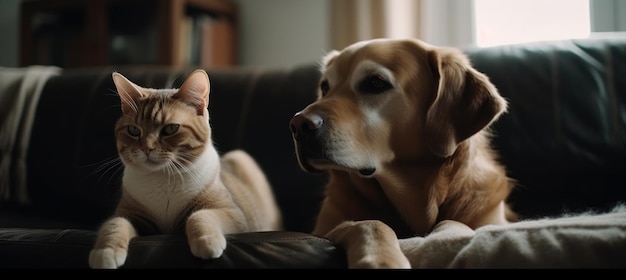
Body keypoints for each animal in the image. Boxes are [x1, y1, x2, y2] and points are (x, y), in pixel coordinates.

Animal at [89, 69, 282, 268]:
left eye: (170, 129)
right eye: (133, 130)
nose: (146, 149)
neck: (162, 179)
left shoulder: (233, 214)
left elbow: (198, 216)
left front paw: (207, 241)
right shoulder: (128, 215)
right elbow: (114, 225)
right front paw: (104, 252)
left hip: (241, 158)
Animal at [288, 38, 516, 268]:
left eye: (376, 83)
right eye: (325, 87)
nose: (298, 125)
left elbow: (453, 221)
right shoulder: (324, 229)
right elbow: (369, 223)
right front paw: (382, 260)